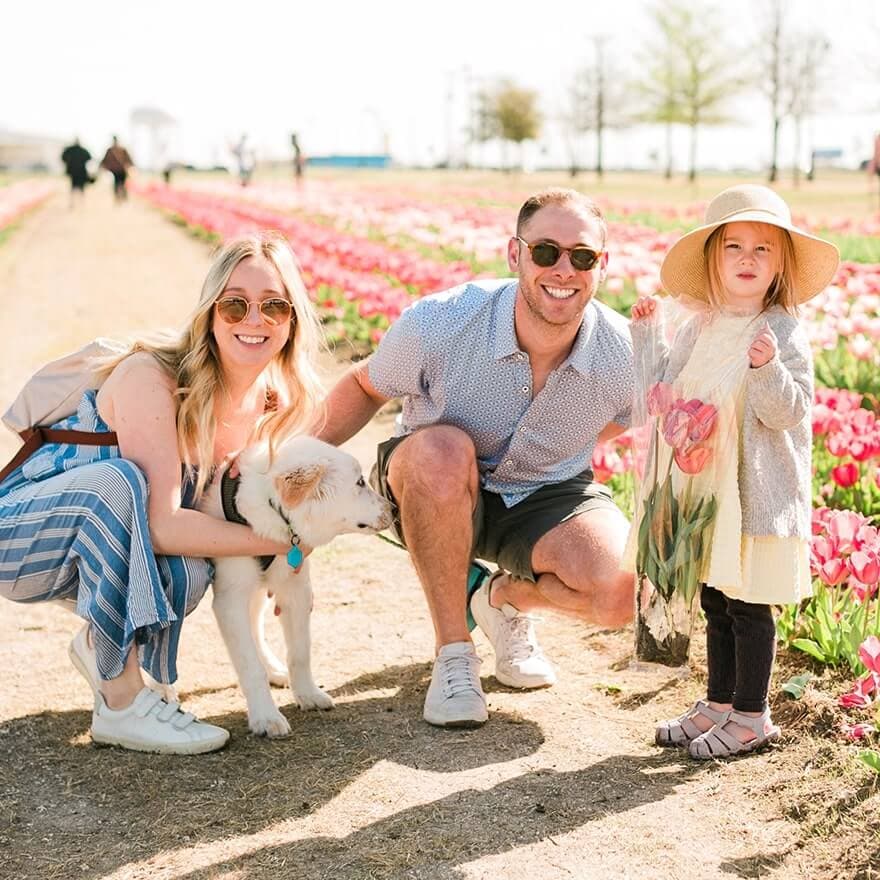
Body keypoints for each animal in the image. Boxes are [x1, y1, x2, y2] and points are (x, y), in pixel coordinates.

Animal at [201, 436, 394, 740]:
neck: (274, 513)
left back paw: (274, 671)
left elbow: (300, 651)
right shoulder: (229, 600)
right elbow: (249, 665)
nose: (395, 510)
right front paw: (266, 718)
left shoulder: (296, 589)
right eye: (361, 482)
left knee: (255, 625)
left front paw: (308, 695)